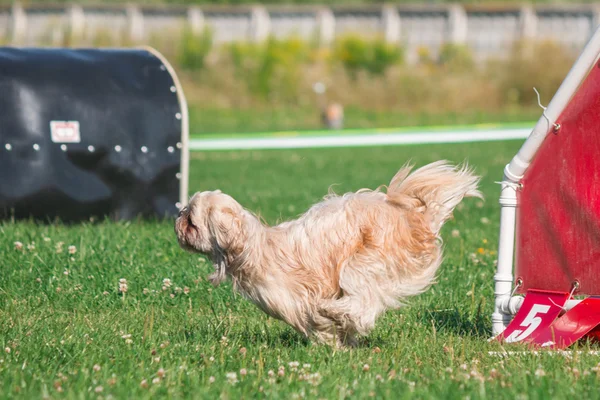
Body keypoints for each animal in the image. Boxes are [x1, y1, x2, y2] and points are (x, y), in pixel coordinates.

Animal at [175, 161, 482, 346]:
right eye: (185, 213)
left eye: (191, 220)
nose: (178, 216)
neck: (253, 247)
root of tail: (412, 218)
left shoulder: (296, 298)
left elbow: (319, 321)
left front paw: (333, 341)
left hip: (368, 261)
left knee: (364, 302)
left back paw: (335, 309)